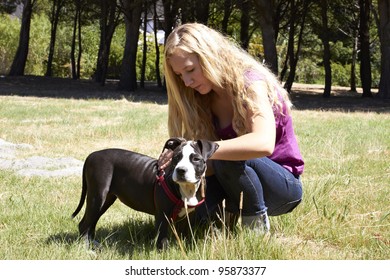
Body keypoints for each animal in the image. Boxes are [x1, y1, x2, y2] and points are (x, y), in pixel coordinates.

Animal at [71, 138, 218, 249]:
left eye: (196, 159)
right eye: (176, 157)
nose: (181, 170)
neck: (186, 188)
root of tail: (91, 155)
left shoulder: (188, 216)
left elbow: (188, 235)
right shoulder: (162, 216)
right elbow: (162, 240)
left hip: (105, 200)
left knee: (91, 223)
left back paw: (94, 245)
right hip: (97, 196)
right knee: (84, 224)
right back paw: (87, 248)